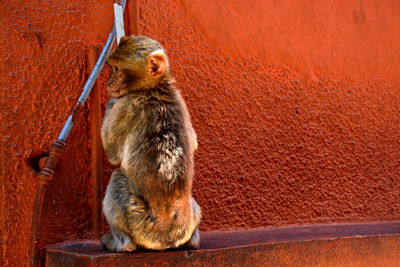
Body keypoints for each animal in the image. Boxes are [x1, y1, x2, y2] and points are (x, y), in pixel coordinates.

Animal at [100, 35, 200, 253]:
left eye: (116, 69)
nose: (108, 82)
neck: (155, 88)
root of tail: (167, 238)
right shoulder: (180, 98)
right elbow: (194, 142)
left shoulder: (126, 104)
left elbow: (112, 154)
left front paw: (110, 101)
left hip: (139, 222)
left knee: (117, 178)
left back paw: (121, 244)